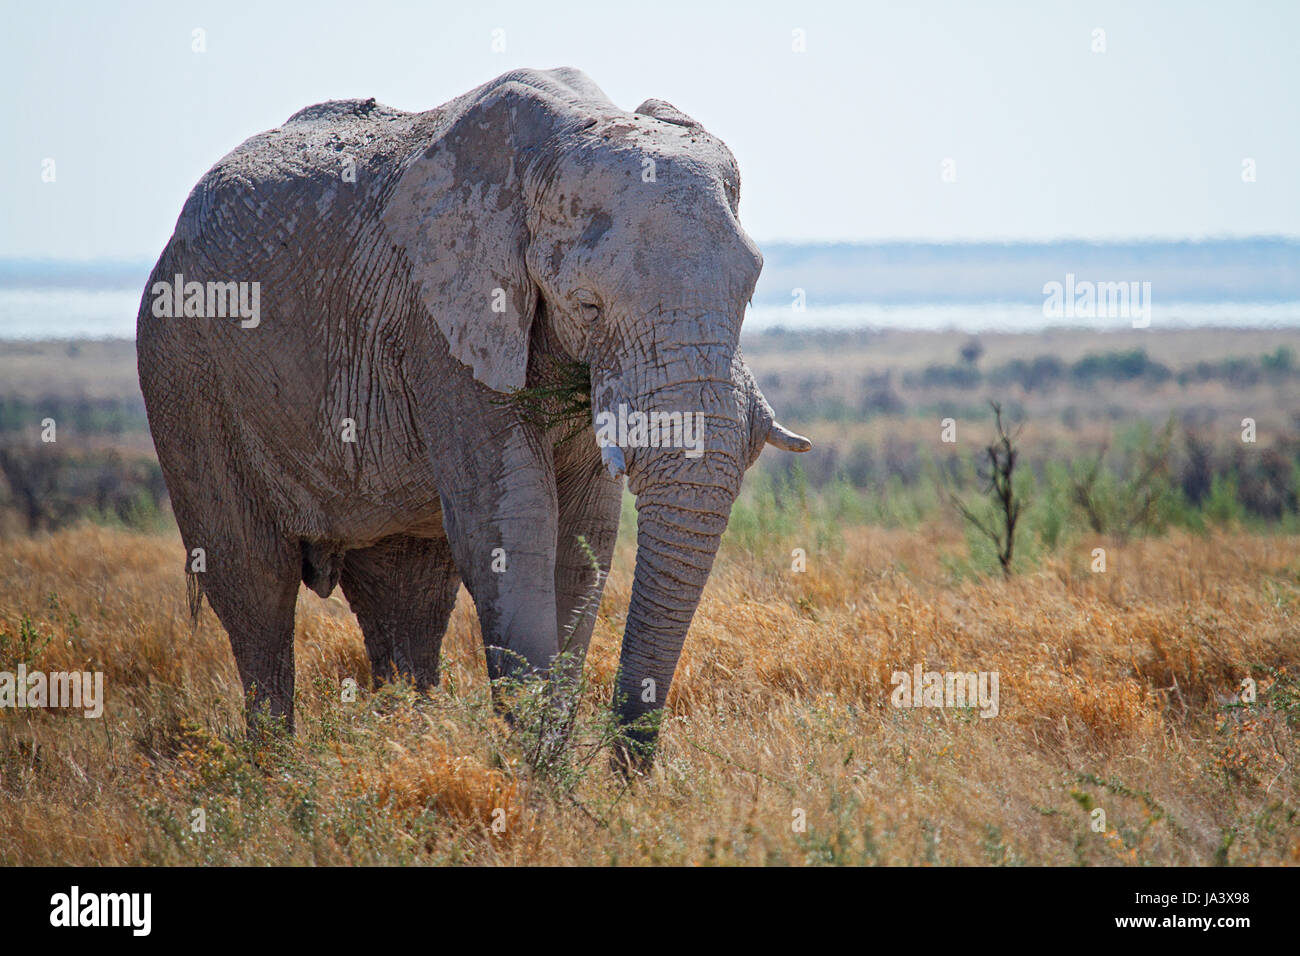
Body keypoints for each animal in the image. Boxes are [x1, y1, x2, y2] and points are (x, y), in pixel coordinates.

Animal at [139, 67, 811, 764]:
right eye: (587, 305)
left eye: (750, 290)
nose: (626, 770)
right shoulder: (440, 324)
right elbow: (514, 525)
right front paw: (540, 777)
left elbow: (583, 538)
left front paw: (549, 769)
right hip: (184, 371)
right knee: (253, 582)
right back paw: (276, 773)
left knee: (407, 597)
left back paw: (408, 748)